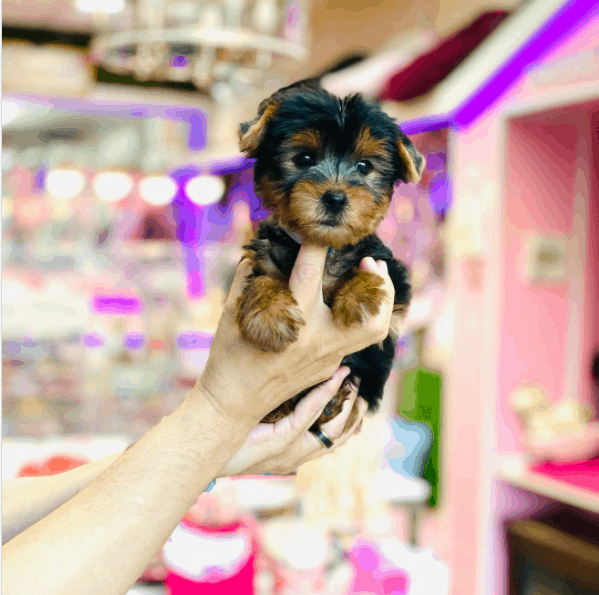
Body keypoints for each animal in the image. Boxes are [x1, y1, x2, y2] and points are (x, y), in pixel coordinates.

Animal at [236, 80, 426, 428]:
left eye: (364, 166)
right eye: (304, 158)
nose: (335, 198)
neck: (323, 247)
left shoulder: (391, 282)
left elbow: (372, 270)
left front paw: (359, 295)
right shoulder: (265, 253)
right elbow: (262, 279)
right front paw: (268, 316)